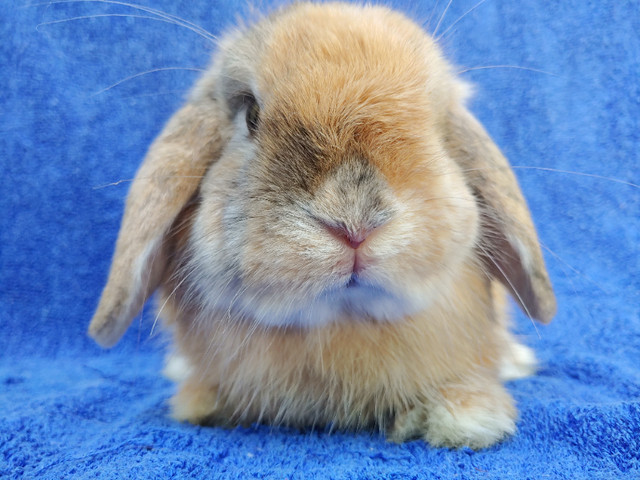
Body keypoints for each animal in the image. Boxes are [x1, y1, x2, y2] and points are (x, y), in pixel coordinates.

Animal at [86, 0, 556, 450]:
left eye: (434, 127)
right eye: (250, 115)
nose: (355, 224)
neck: (338, 326)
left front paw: (470, 420)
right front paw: (200, 403)